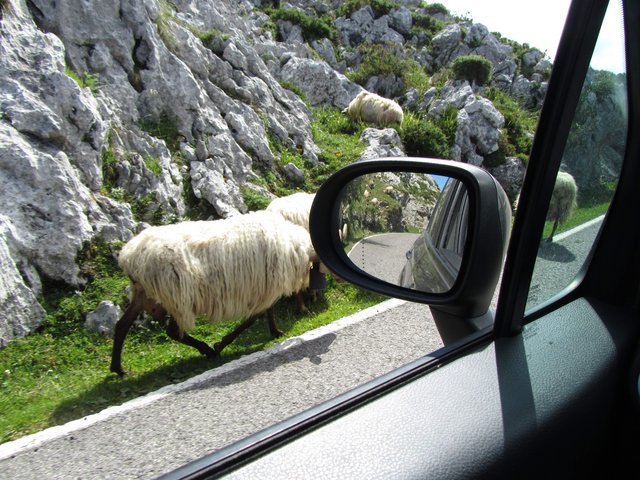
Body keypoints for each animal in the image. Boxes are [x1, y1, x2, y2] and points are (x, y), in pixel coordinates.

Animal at [112, 212, 320, 376]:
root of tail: (129, 257)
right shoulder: (263, 287)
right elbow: (253, 318)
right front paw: (222, 343)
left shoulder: (266, 287)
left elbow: (267, 312)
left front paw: (275, 332)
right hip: (176, 296)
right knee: (172, 331)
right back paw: (207, 350)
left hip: (146, 294)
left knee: (122, 325)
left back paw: (119, 369)